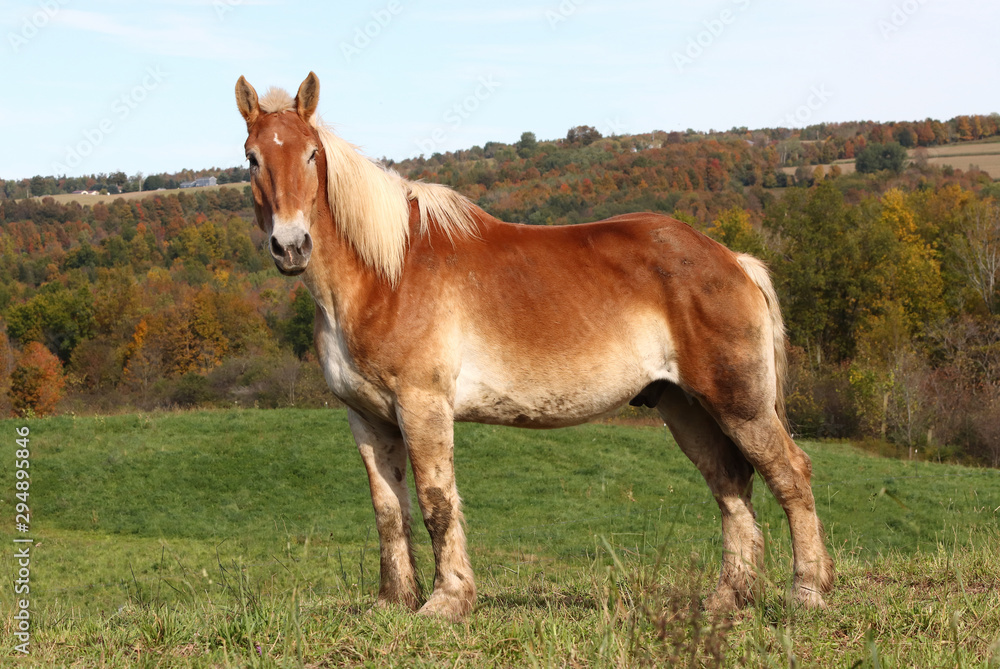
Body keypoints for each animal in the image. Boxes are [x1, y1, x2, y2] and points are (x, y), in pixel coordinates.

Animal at [235, 72, 834, 621]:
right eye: (252, 159)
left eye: (312, 154)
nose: (290, 246)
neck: (386, 274)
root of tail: (732, 259)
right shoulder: (366, 418)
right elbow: (389, 511)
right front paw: (393, 601)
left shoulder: (422, 406)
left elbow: (436, 503)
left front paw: (446, 602)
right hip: (686, 408)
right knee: (731, 488)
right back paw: (726, 600)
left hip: (740, 405)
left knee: (792, 476)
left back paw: (807, 592)